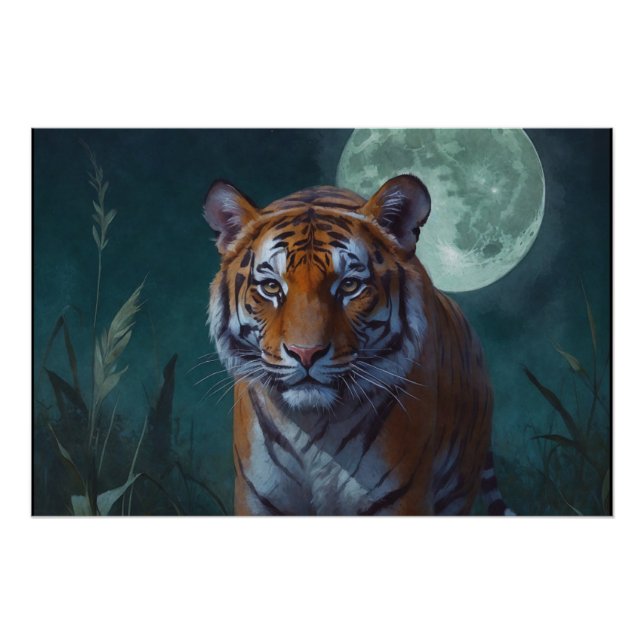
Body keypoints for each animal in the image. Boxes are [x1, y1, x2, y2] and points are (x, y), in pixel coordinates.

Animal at [204, 174, 513, 516]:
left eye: (350, 285)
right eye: (271, 287)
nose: (305, 353)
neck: (314, 431)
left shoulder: (402, 498)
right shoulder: (258, 498)